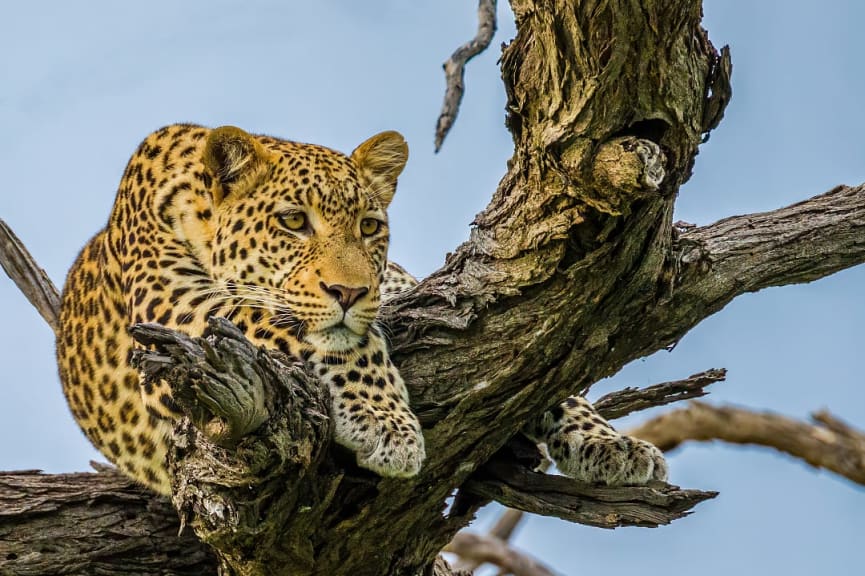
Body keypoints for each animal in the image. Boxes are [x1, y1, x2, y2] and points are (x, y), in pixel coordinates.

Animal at [52, 122, 660, 496]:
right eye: (293, 222)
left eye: (369, 227)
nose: (349, 293)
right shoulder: (175, 313)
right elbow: (324, 337)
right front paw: (385, 423)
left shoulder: (394, 284)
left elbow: (563, 384)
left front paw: (611, 442)